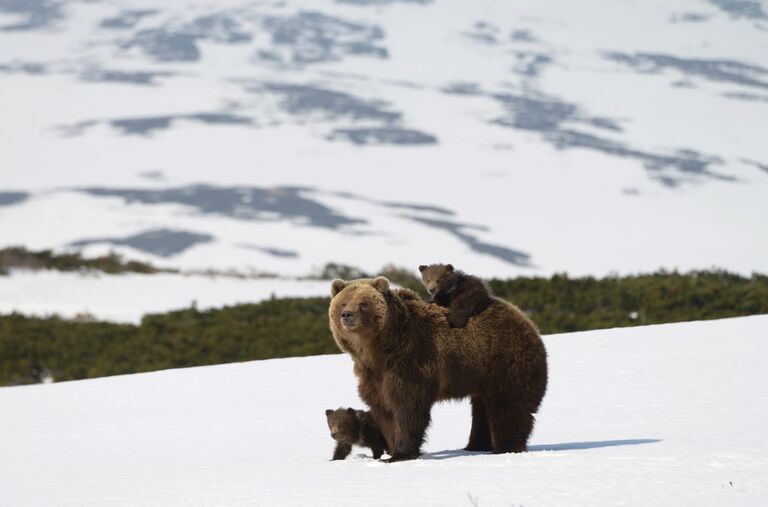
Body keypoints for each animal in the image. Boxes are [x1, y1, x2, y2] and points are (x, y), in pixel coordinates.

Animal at [328, 276, 548, 462]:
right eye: (343, 302)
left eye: (363, 303)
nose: (346, 315)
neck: (378, 351)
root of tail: (526, 319)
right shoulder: (373, 376)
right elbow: (385, 410)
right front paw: (389, 450)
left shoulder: (410, 363)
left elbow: (407, 407)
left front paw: (401, 453)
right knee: (482, 409)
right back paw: (476, 446)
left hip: (504, 360)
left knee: (508, 406)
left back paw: (505, 448)